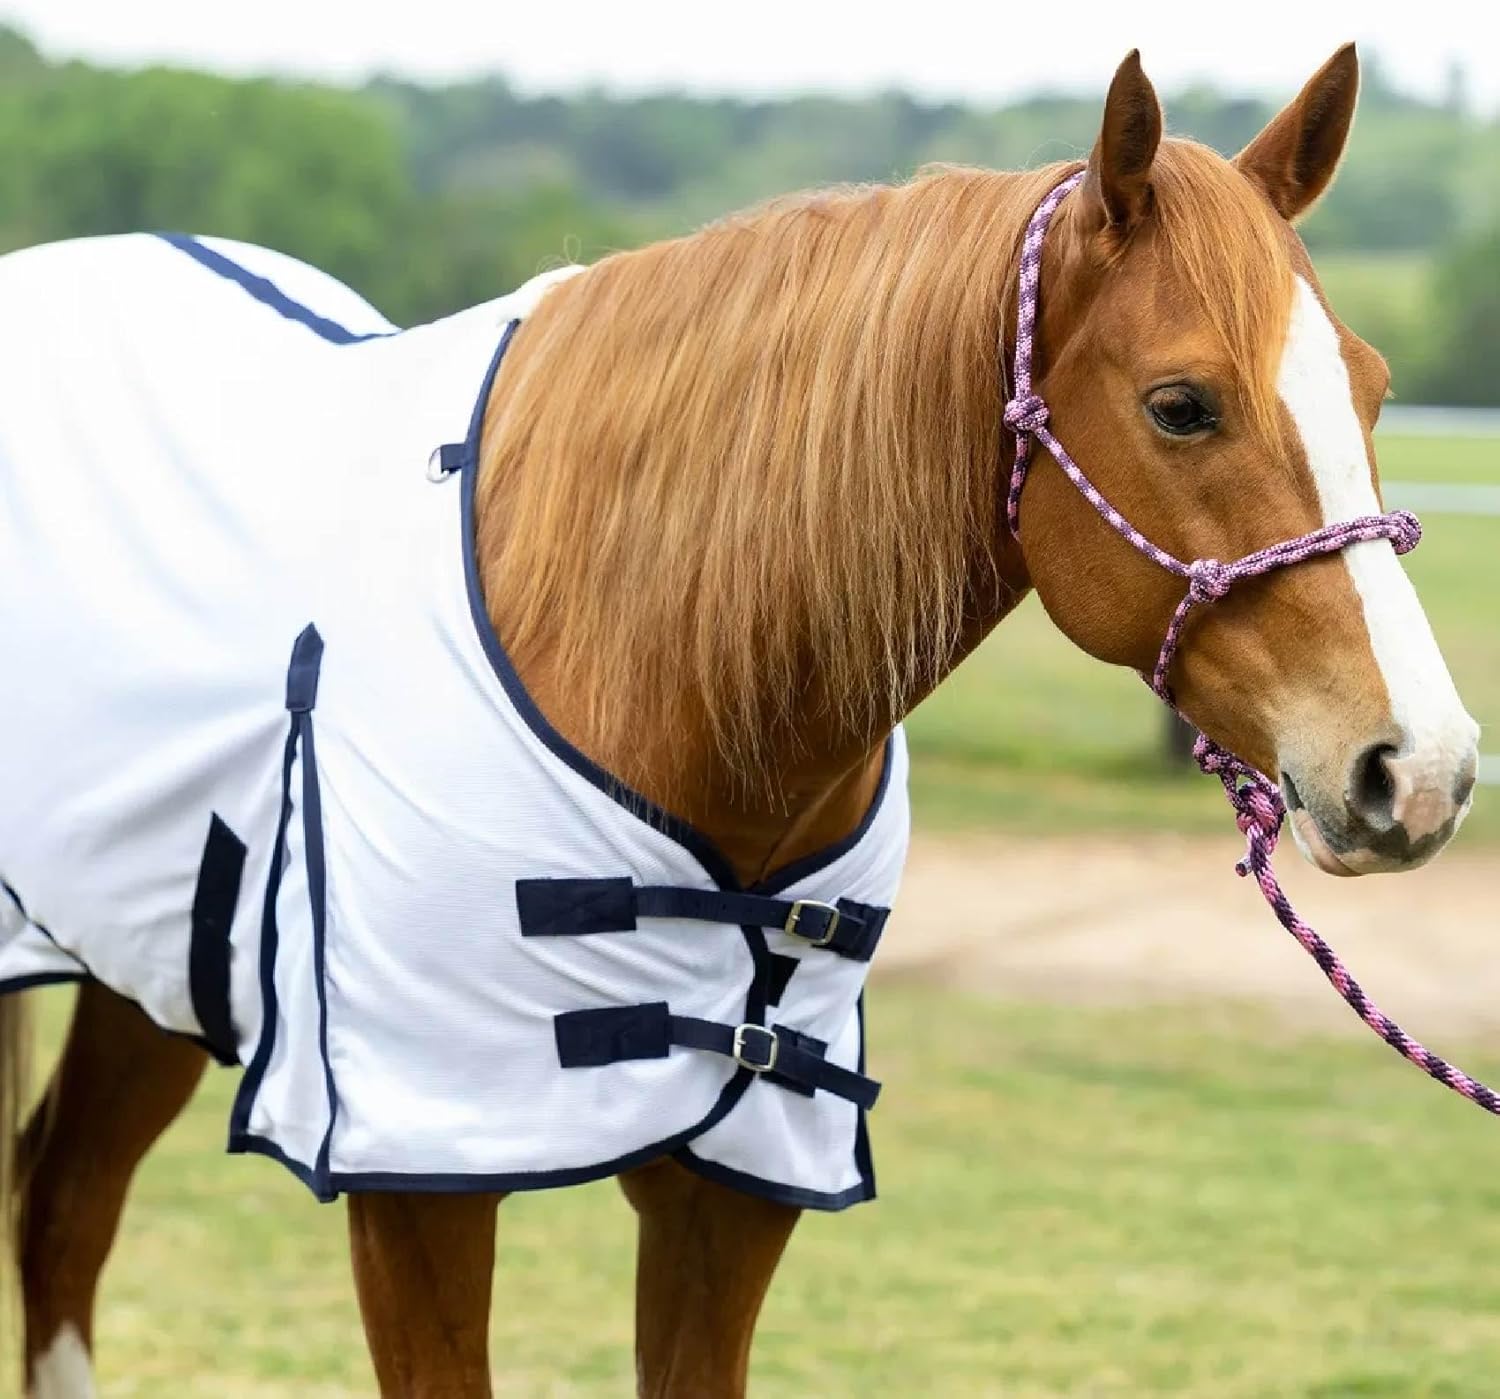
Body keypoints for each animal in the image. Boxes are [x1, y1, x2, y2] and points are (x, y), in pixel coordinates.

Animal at [1, 42, 1479, 1397]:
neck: (647, 654)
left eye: (1371, 384)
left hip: (151, 967)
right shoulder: (423, 1171)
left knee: (62, 1201)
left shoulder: (737, 1182)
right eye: (1182, 404)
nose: (1422, 768)